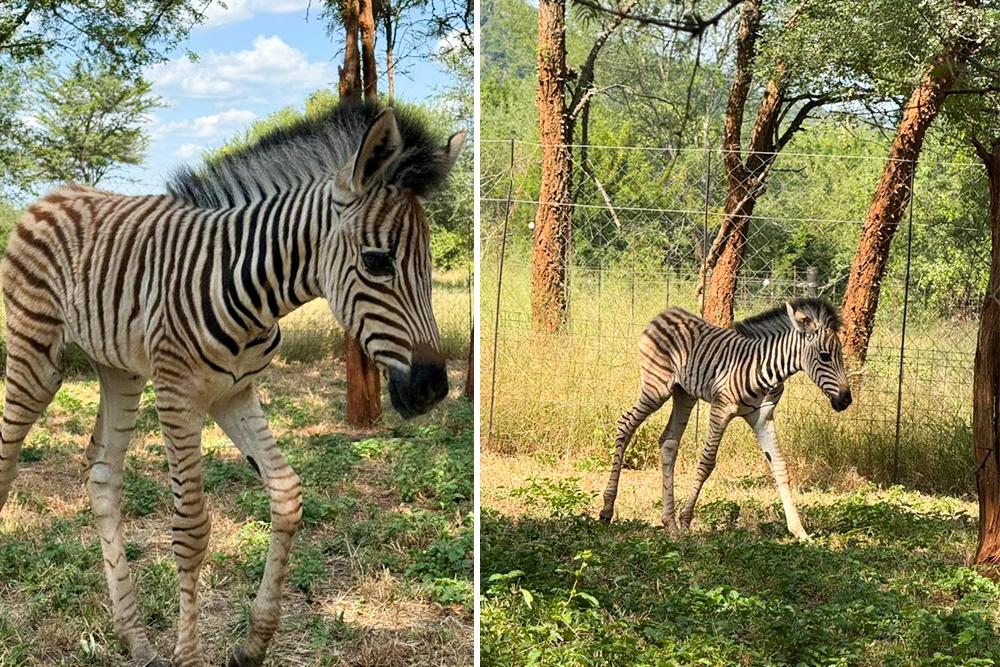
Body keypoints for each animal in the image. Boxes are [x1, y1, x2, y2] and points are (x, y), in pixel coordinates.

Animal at [0, 101, 465, 667]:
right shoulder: (178, 394)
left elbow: (286, 494)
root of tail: (53, 193)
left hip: (120, 369)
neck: (252, 290)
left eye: (429, 264)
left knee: (103, 474)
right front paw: (189, 655)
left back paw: (135, 638)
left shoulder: (235, 392)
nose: (433, 388)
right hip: (36, 357)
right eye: (378, 261)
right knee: (8, 460)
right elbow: (191, 529)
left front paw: (252, 644)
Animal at [599, 298, 852, 540]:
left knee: (669, 442)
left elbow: (779, 465)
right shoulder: (721, 409)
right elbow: (706, 463)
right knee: (626, 424)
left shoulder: (762, 417)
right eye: (825, 356)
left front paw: (799, 531)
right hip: (656, 388)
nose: (846, 400)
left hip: (684, 394)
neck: (765, 369)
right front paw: (686, 519)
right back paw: (607, 510)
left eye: (840, 355)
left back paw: (669, 523)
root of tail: (666, 313)